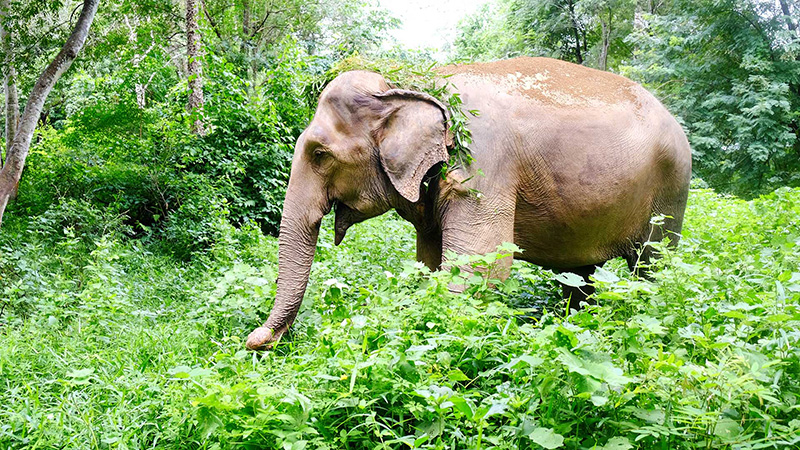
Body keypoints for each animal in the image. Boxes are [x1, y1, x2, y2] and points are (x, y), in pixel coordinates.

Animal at [246, 56, 691, 350]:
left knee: (650, 266)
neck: (411, 82)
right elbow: (430, 262)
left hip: (670, 192)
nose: (256, 341)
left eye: (320, 154)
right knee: (581, 276)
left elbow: (481, 267)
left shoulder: (485, 166)